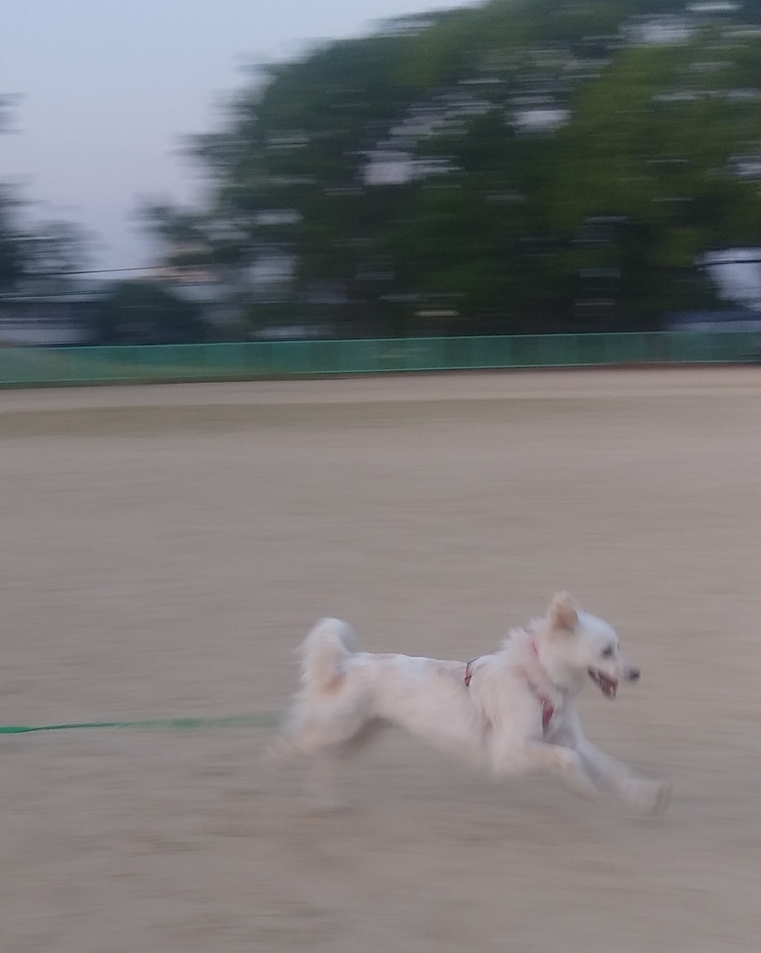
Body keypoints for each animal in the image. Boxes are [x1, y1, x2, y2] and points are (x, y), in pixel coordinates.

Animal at [274, 592, 672, 816]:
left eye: (618, 646)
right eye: (606, 651)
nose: (635, 673)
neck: (537, 677)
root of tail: (344, 663)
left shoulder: (568, 738)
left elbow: (612, 767)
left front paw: (645, 796)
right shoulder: (511, 751)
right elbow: (568, 761)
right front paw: (583, 787)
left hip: (359, 736)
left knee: (325, 762)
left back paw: (323, 802)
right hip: (335, 727)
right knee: (292, 739)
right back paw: (277, 763)